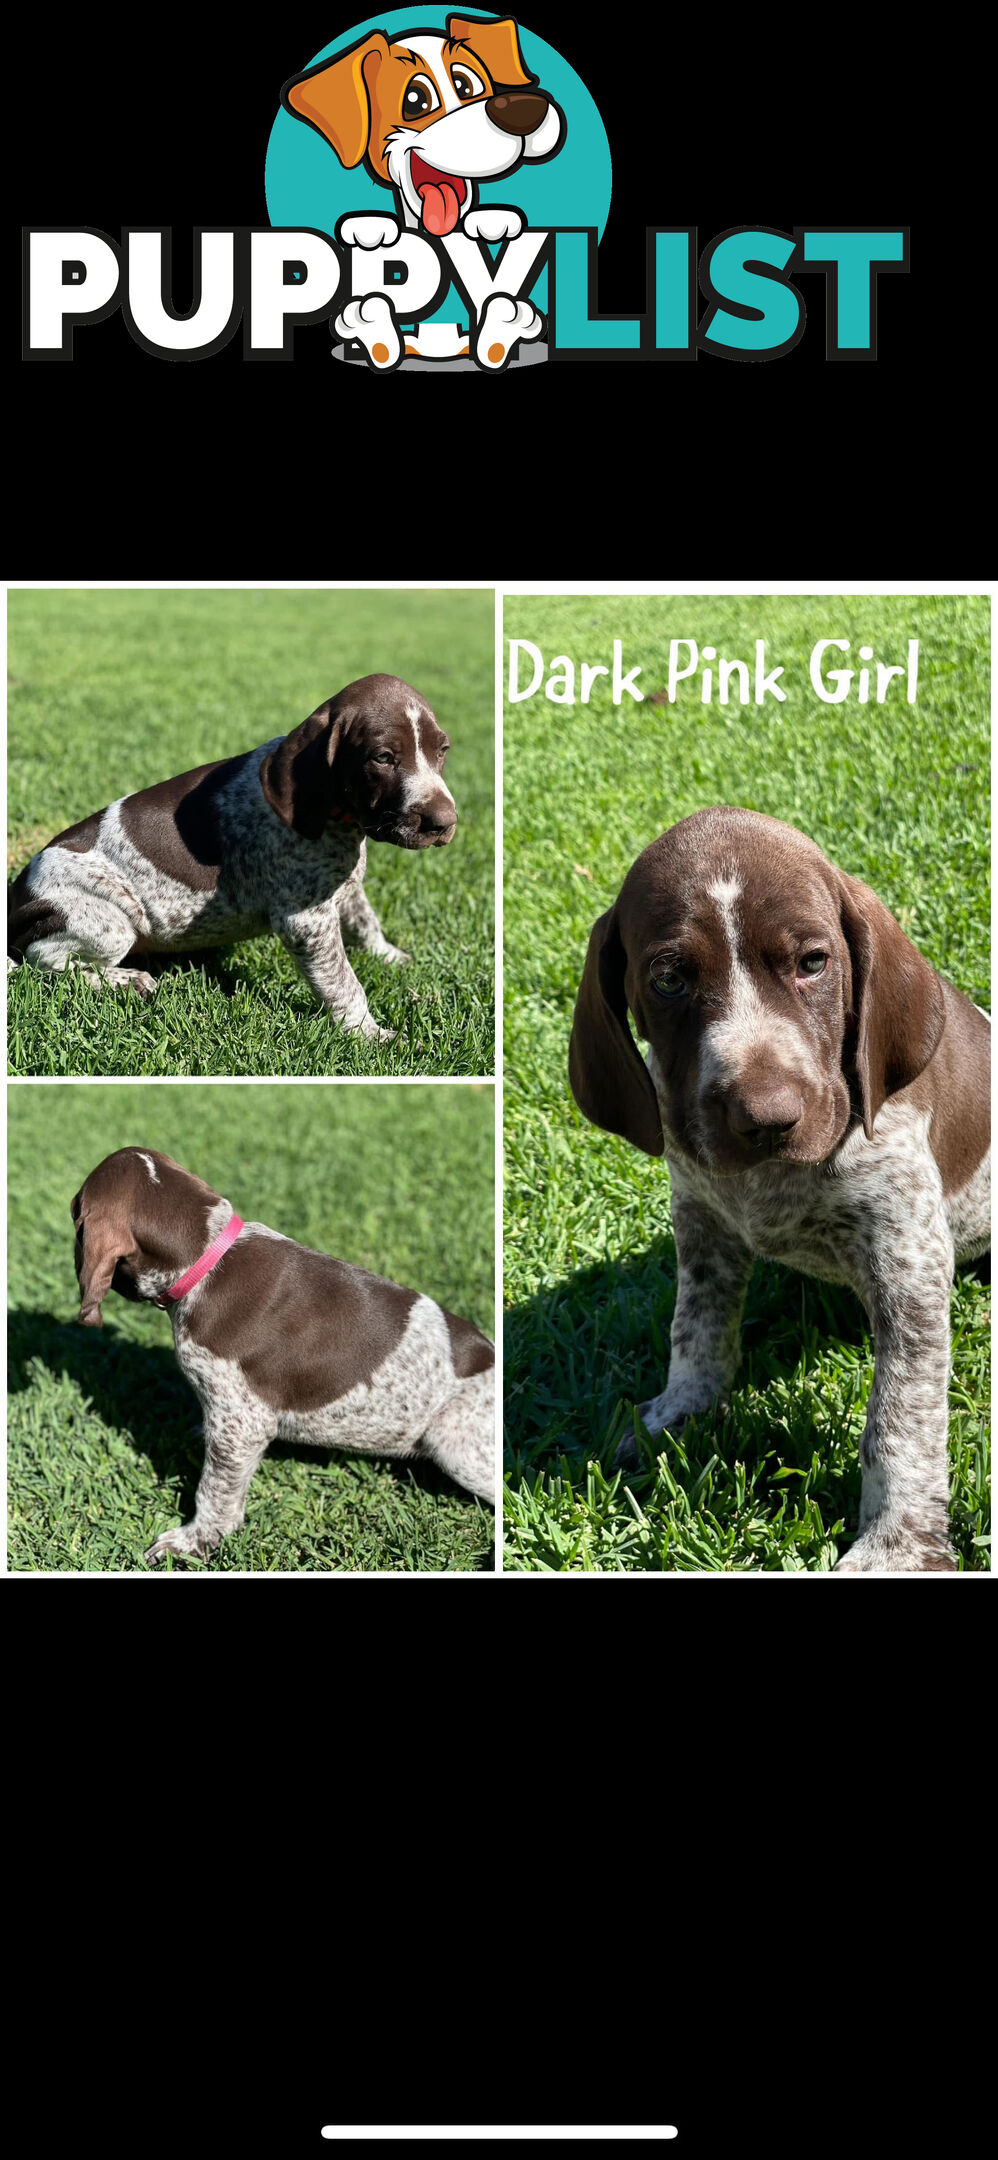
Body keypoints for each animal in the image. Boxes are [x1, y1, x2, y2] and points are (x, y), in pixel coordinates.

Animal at [7, 673, 457, 1045]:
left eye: (443, 751)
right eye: (383, 757)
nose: (445, 823)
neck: (340, 820)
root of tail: (18, 893)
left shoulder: (341, 887)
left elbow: (366, 921)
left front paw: (389, 956)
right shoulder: (305, 920)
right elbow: (344, 982)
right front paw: (370, 1034)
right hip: (110, 924)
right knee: (42, 961)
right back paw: (127, 981)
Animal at [70, 1140, 494, 1563]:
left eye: (74, 1210)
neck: (207, 1258)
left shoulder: (241, 1422)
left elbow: (215, 1491)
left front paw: (194, 1541)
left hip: (456, 1446)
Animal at [570, 807, 989, 1572]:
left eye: (812, 964)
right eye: (669, 980)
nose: (765, 1119)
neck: (771, 1182)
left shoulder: (908, 1260)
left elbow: (901, 1415)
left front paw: (897, 1545)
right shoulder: (701, 1223)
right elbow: (695, 1328)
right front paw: (679, 1413)